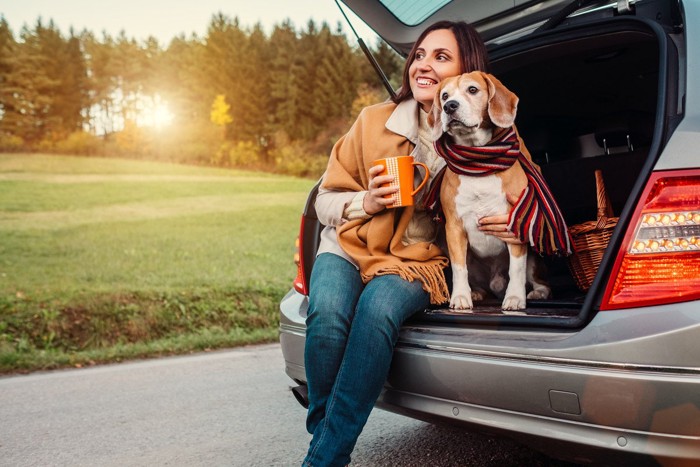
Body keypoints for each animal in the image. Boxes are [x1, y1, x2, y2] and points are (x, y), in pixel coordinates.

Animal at [426, 71, 552, 312]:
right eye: (444, 95)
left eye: (472, 90)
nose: (449, 106)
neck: (478, 162)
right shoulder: (454, 228)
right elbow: (459, 268)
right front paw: (461, 296)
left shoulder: (514, 223)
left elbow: (516, 268)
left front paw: (515, 298)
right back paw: (476, 293)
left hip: (533, 259)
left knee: (539, 280)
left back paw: (538, 292)